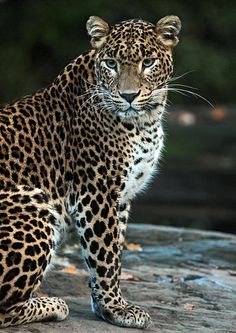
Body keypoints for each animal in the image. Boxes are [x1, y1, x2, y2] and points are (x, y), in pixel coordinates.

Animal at [0, 14, 182, 326]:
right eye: (111, 63)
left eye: (148, 62)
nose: (129, 95)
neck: (145, 120)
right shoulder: (96, 192)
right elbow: (105, 256)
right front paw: (117, 309)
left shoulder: (121, 197)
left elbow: (115, 251)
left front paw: (104, 307)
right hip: (33, 204)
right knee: (5, 310)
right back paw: (52, 304)